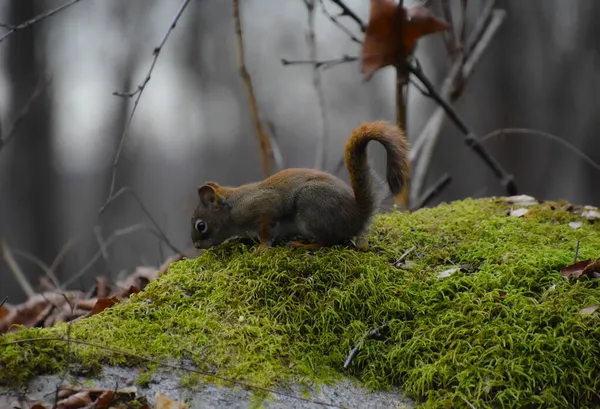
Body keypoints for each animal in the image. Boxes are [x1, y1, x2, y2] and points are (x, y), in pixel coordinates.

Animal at [190, 119, 410, 252]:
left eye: (201, 225)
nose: (196, 245)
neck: (232, 206)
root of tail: (357, 214)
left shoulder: (262, 207)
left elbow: (267, 229)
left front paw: (261, 247)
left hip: (311, 209)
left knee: (328, 241)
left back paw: (305, 245)